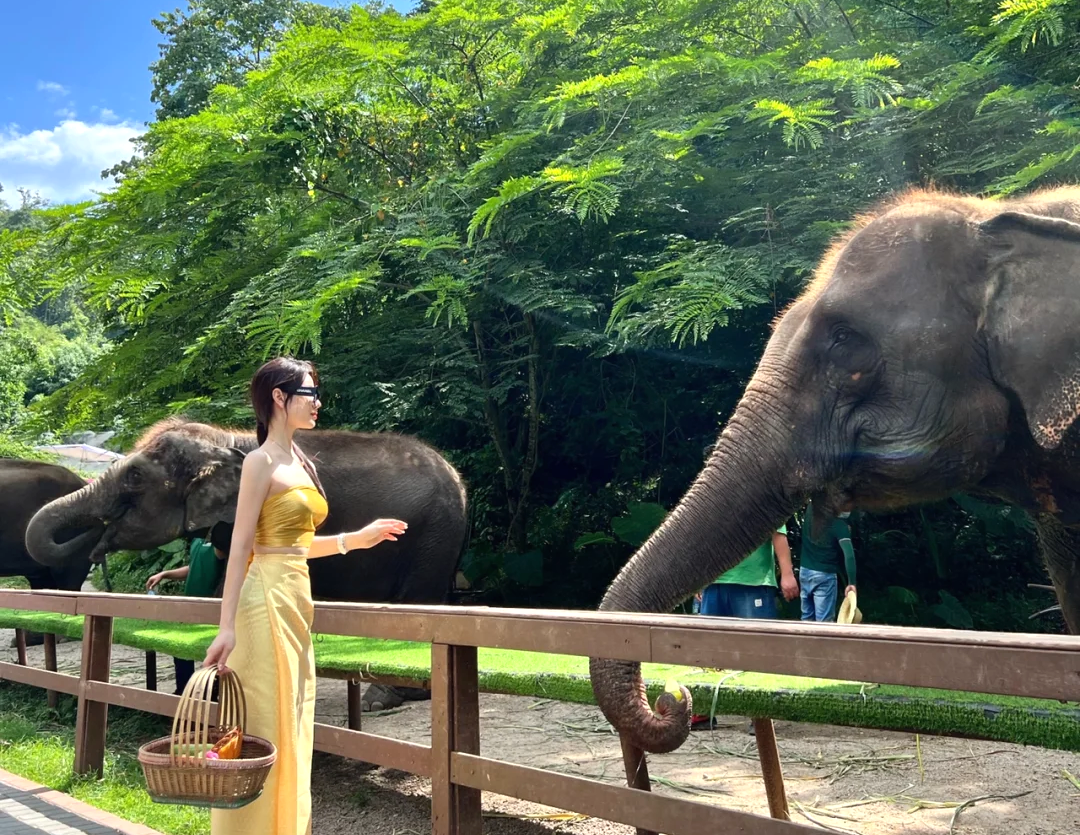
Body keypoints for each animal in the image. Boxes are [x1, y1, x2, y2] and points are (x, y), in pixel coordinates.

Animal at [25, 418, 469, 708]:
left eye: (135, 476)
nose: (98, 539)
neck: (222, 438)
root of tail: (457, 479)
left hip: (432, 534)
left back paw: (383, 699)